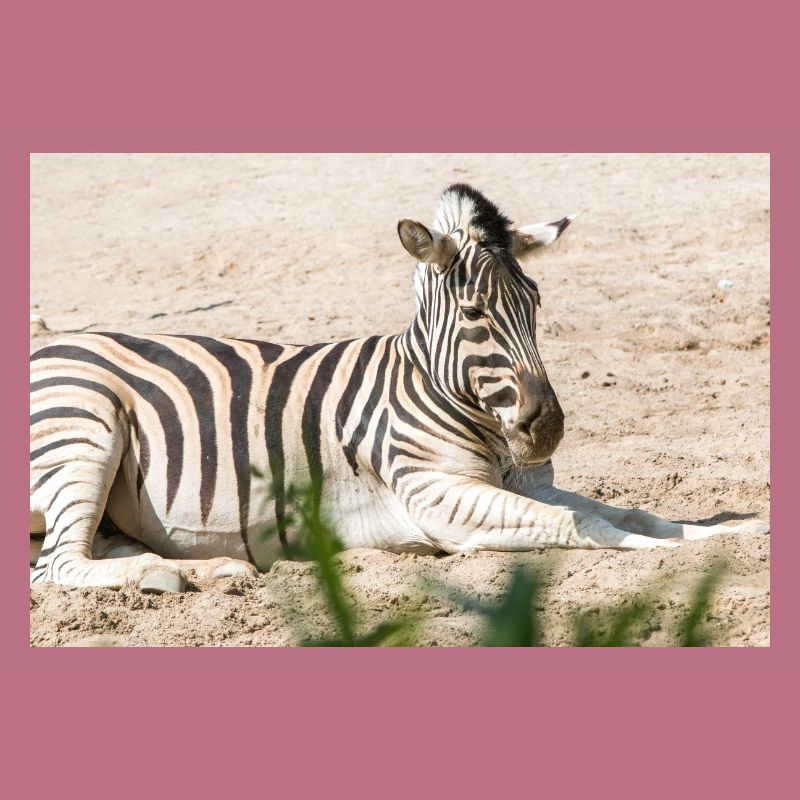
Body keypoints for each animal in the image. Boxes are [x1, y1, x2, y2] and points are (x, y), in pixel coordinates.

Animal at [30, 183, 769, 592]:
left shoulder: (522, 483)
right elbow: (585, 526)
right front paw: (668, 555)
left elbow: (636, 513)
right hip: (85, 426)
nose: (547, 429)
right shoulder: (437, 496)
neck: (436, 389)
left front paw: (730, 530)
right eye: (475, 314)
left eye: (536, 302)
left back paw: (198, 571)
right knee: (58, 567)